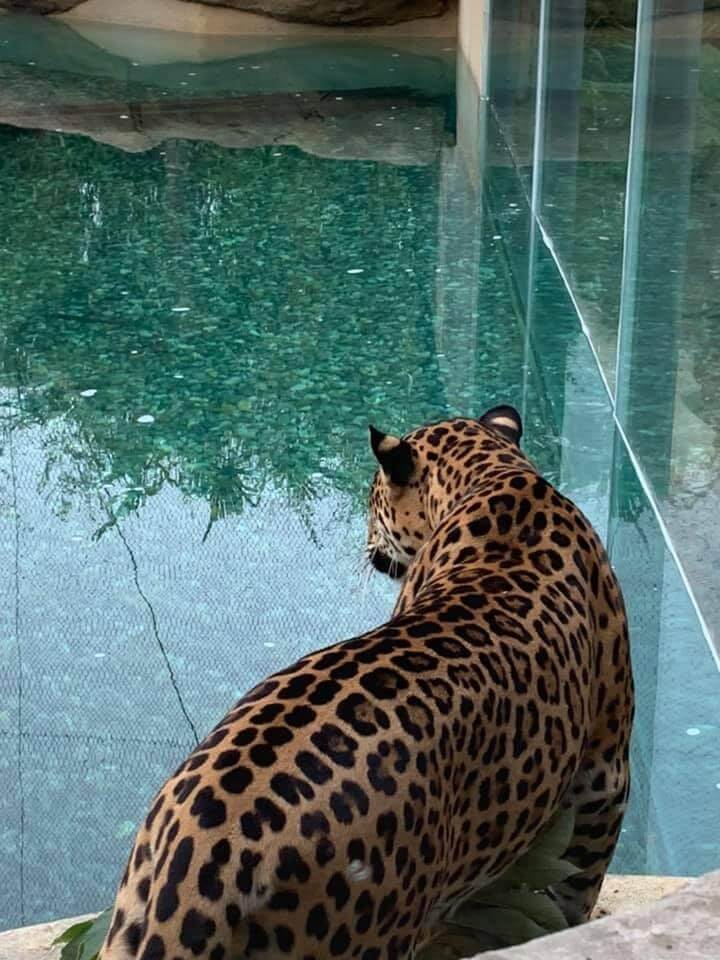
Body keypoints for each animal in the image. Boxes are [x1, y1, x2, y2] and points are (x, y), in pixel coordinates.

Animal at [99, 406, 633, 960]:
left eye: (372, 497)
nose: (367, 544)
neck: (495, 473)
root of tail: (209, 861)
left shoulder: (605, 774)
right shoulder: (604, 770)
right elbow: (577, 885)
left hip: (126, 926)